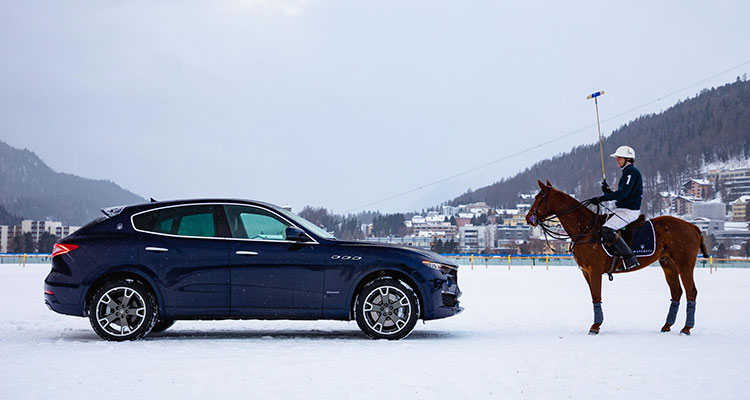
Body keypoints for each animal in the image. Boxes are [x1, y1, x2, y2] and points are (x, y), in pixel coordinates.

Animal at [524, 180, 708, 334]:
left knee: (691, 291)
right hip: (668, 264)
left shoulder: (594, 270)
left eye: (539, 198)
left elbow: (597, 295)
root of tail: (693, 226)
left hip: (684, 264)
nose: (528, 218)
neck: (585, 228)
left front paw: (595, 326)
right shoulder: (586, 272)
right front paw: (596, 324)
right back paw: (667, 325)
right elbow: (593, 296)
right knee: (676, 292)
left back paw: (686, 328)